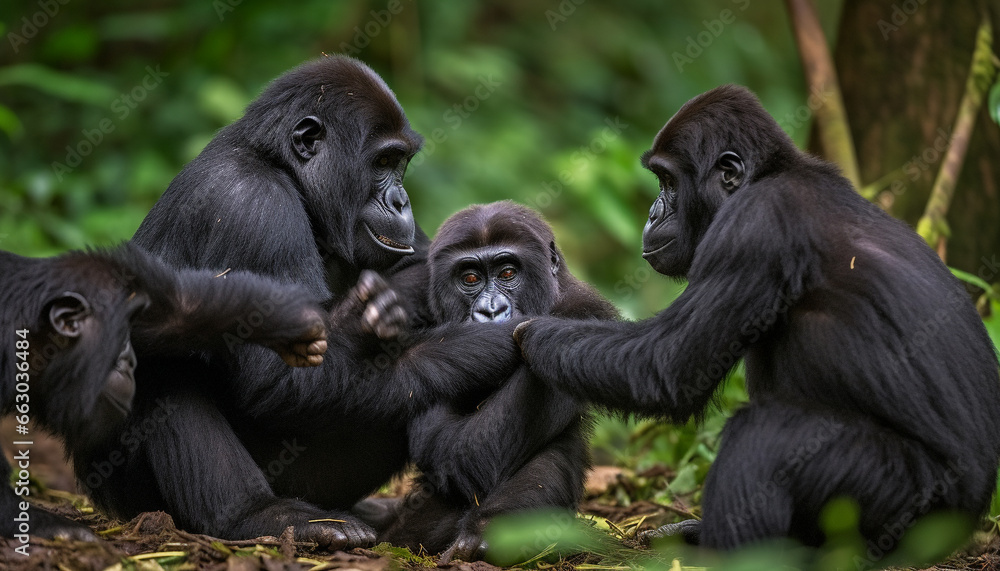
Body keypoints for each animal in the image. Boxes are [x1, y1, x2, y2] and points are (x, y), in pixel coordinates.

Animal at [0, 245, 326, 544]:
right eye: (117, 334)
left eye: (128, 326)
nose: (129, 358)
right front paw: (50, 526)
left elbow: (171, 316)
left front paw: (288, 317)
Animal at [76, 57, 516, 548]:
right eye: (383, 161)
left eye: (400, 163)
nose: (401, 200)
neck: (283, 169)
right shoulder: (251, 205)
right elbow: (282, 380)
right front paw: (484, 345)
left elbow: (427, 262)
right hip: (127, 486)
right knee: (171, 360)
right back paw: (259, 515)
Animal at [368, 202, 616, 564]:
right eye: (470, 278)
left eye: (508, 274)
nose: (491, 309)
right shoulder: (410, 296)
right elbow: (443, 439)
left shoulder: (583, 315)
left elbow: (473, 448)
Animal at [516, 87, 1000, 552]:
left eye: (668, 181)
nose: (653, 211)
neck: (767, 178)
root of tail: (973, 516)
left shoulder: (753, 228)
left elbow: (666, 365)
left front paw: (530, 334)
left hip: (914, 499)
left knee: (764, 438)